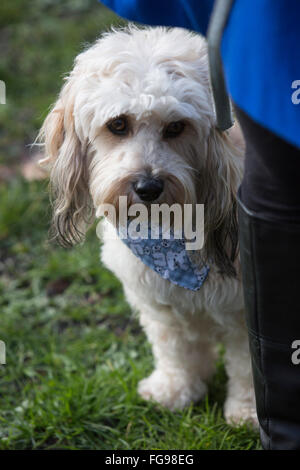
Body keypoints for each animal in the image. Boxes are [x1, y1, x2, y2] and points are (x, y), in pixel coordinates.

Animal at [38, 27, 256, 428]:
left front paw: (249, 414)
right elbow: (175, 350)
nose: (148, 187)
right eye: (118, 124)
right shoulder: (159, 300)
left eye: (176, 127)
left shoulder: (245, 307)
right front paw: (175, 390)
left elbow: (248, 367)